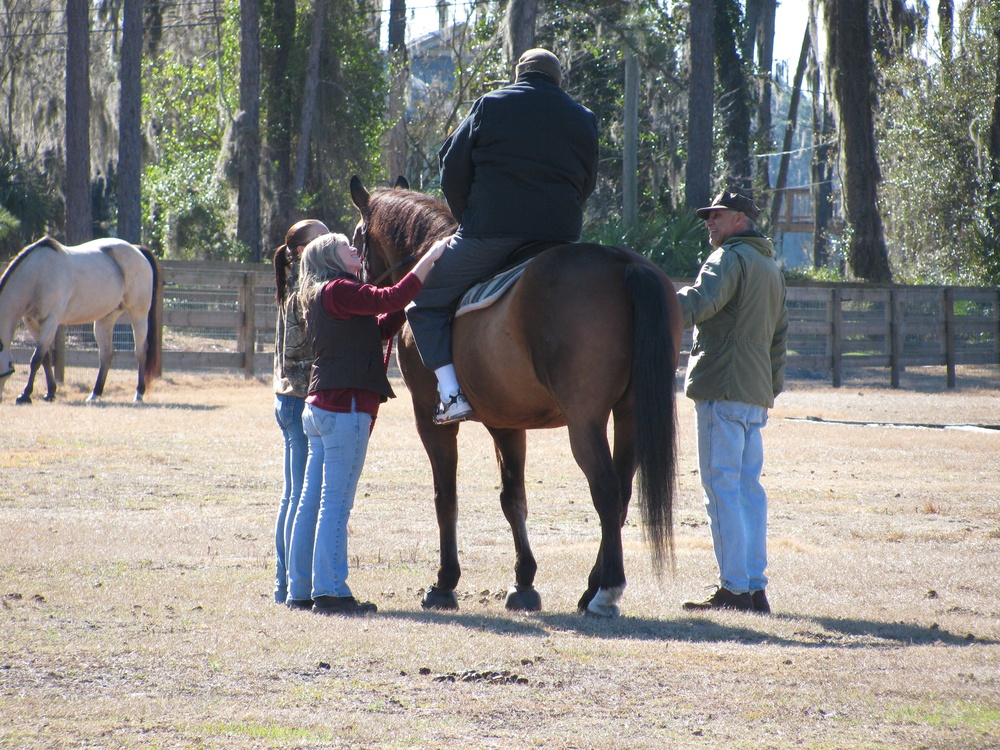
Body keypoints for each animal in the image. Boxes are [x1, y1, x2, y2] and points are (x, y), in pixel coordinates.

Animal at [0, 239, 160, 406]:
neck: (38, 274)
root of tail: (138, 250)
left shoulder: (51, 321)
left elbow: (36, 359)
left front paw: (25, 395)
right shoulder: (31, 323)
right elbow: (45, 358)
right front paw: (50, 392)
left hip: (138, 314)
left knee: (140, 351)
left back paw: (138, 394)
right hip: (105, 319)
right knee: (106, 354)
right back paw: (95, 394)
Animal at [348, 176, 684, 616]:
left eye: (358, 239)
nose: (363, 286)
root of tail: (622, 263)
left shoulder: (429, 419)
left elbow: (445, 497)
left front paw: (444, 583)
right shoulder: (507, 423)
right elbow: (514, 498)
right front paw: (523, 580)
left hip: (585, 420)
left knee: (607, 490)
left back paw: (606, 589)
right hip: (629, 413)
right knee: (623, 490)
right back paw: (592, 585)